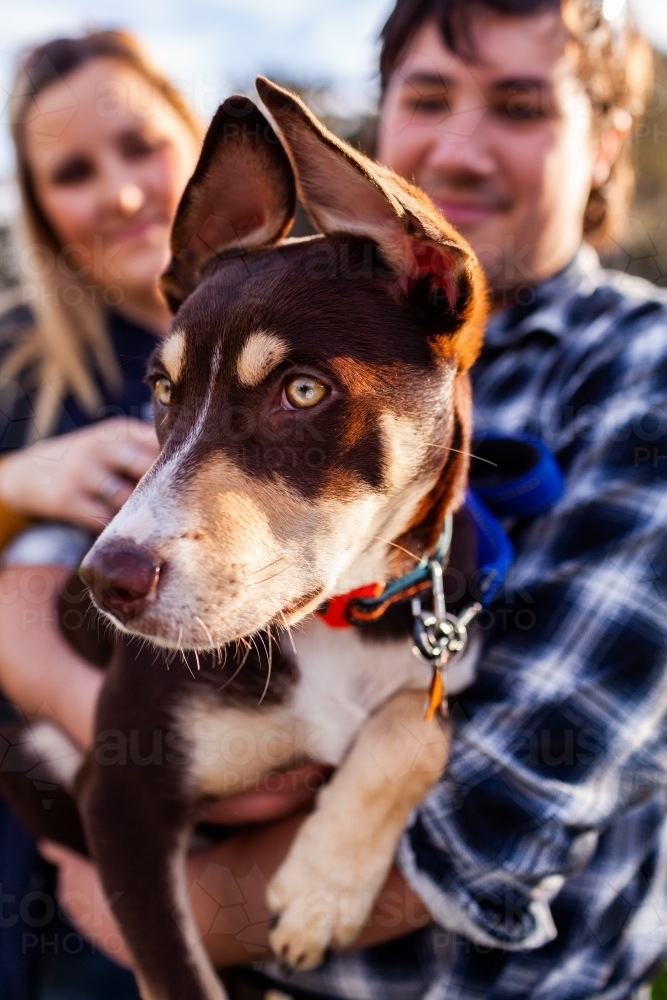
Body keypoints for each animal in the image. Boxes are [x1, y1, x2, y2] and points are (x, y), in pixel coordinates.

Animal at [1, 78, 490, 1000]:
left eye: (301, 390)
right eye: (162, 388)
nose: (106, 581)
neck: (335, 619)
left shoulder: (444, 650)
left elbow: (419, 728)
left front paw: (322, 893)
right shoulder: (119, 795)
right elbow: (179, 974)